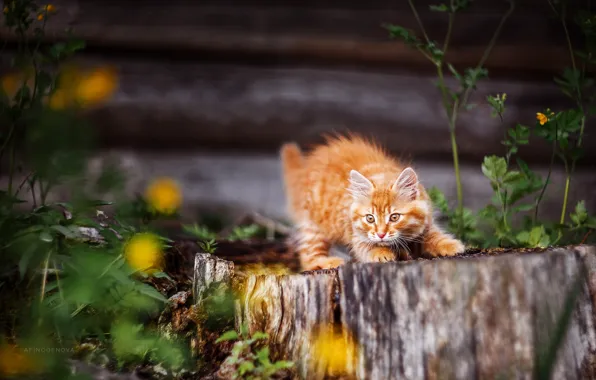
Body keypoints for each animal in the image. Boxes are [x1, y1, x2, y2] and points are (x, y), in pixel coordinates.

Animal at [280, 134, 466, 270]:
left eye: (394, 217)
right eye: (370, 218)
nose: (381, 234)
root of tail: (305, 169)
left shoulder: (426, 223)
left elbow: (435, 236)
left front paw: (451, 245)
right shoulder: (357, 236)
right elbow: (368, 247)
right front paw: (381, 252)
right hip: (313, 226)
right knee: (308, 256)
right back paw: (328, 262)